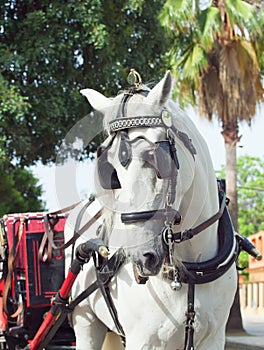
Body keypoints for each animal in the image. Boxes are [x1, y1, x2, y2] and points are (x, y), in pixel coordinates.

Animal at [65, 72, 237, 350]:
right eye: (111, 171)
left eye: (158, 158)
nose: (140, 257)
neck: (192, 269)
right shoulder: (143, 340)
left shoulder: (214, 338)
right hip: (85, 321)